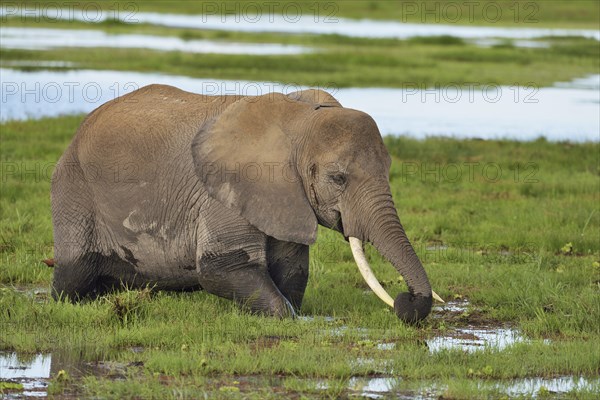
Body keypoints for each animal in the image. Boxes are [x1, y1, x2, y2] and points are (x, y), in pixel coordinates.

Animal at [52, 83, 440, 322]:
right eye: (338, 179)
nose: (404, 302)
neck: (301, 120)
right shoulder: (223, 191)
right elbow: (222, 268)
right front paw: (288, 318)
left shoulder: (285, 196)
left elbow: (291, 270)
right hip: (74, 189)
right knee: (73, 276)